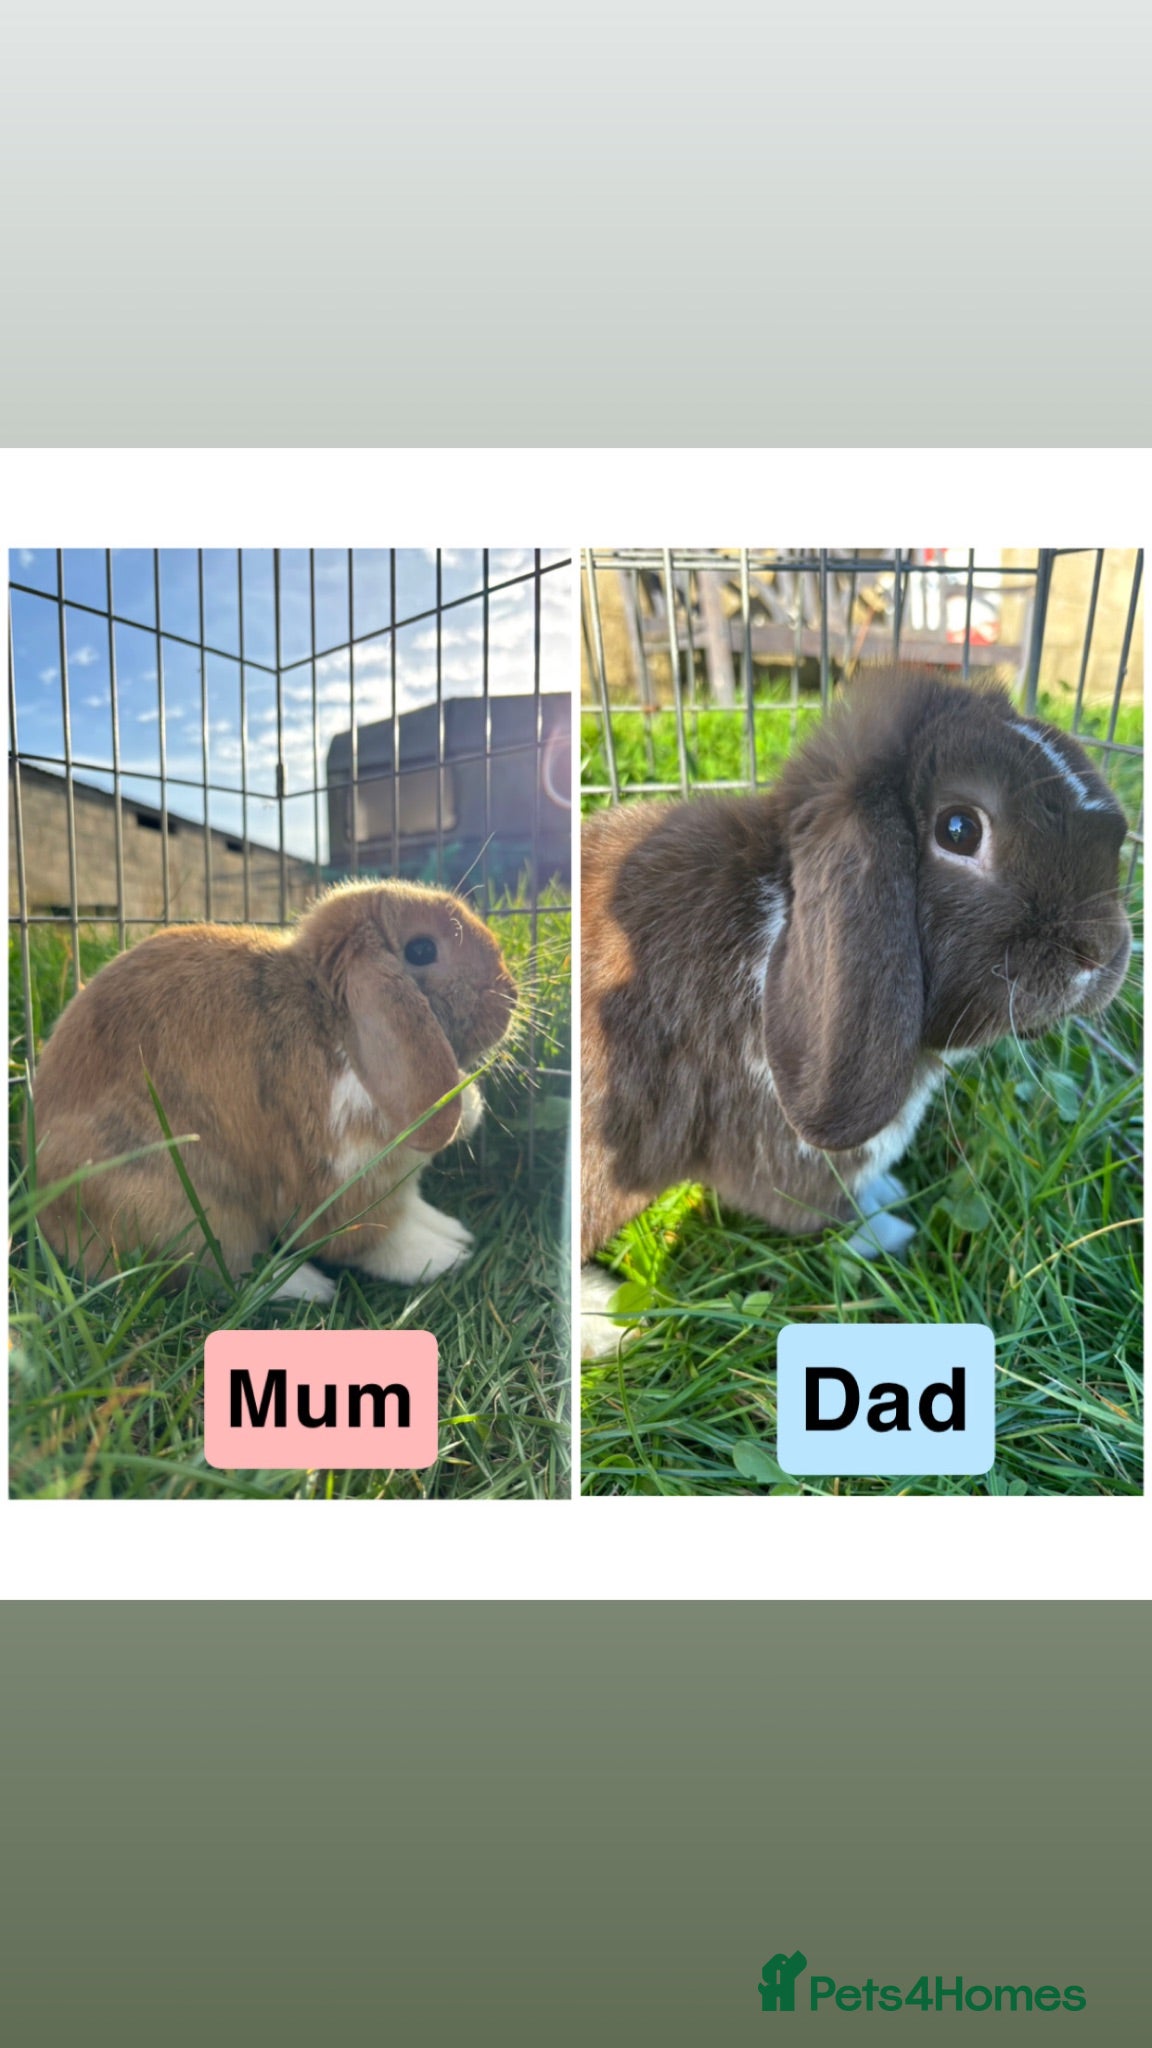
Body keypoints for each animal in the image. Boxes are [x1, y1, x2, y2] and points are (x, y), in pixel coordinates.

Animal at [31, 879, 518, 1302]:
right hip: (183, 1206)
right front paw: (445, 1256)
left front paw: (453, 1231)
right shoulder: (341, 1179)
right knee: (223, 1269)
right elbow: (375, 1238)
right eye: (421, 949)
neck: (330, 1018)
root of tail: (52, 1222)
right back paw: (307, 1287)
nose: (510, 995)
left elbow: (411, 1207)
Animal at [581, 667, 1132, 1284]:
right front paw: (890, 1232)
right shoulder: (785, 1158)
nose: (1101, 952)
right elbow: (824, 1208)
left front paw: (889, 1191)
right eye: (959, 829)